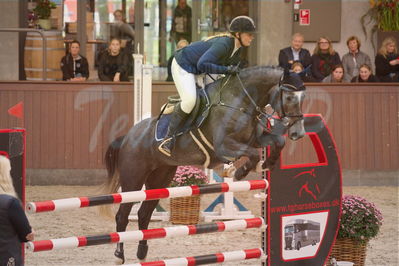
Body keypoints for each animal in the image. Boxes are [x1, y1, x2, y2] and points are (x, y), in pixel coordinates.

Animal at [101, 66, 304, 262]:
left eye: (303, 97)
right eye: (289, 97)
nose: (298, 133)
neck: (240, 102)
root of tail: (128, 136)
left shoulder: (255, 139)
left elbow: (278, 141)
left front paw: (266, 164)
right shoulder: (224, 145)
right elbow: (252, 154)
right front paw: (239, 172)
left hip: (159, 179)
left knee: (144, 214)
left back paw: (142, 252)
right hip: (133, 180)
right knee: (123, 215)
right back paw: (119, 254)